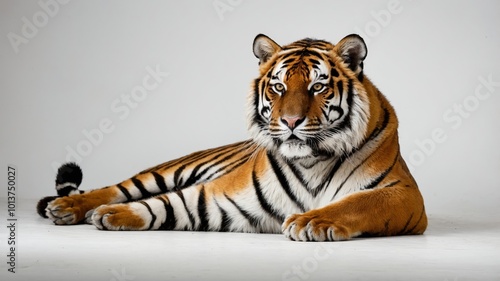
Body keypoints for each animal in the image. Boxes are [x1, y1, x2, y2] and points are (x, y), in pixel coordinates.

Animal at [36, 33, 426, 241]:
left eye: (318, 87)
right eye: (279, 87)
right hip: (163, 171)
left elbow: (358, 203)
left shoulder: (404, 194)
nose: (291, 121)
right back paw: (69, 208)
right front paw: (109, 214)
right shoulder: (219, 197)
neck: (311, 160)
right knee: (117, 187)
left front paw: (312, 220)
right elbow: (163, 203)